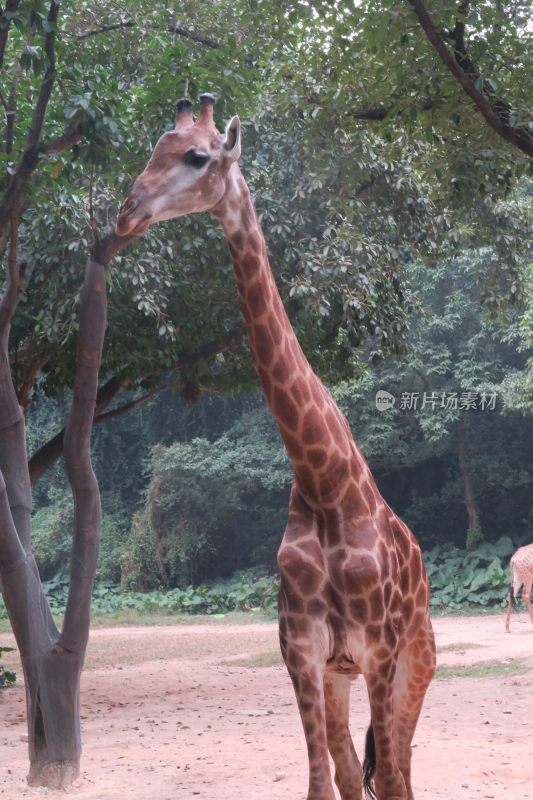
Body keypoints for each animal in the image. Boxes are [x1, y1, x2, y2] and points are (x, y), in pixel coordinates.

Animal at [116, 95, 436, 800]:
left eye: (197, 156)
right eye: (154, 149)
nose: (127, 212)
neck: (323, 480)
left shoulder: (377, 651)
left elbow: (385, 776)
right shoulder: (303, 652)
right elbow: (321, 783)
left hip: (417, 661)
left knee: (400, 772)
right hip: (341, 676)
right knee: (354, 771)